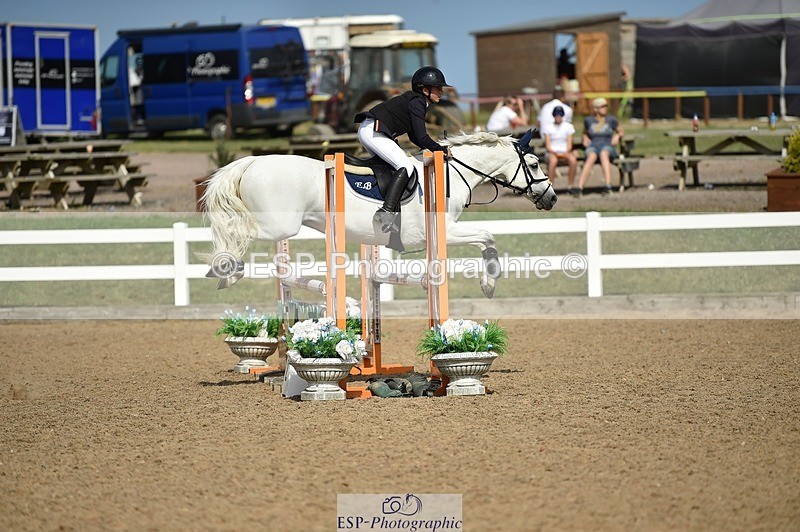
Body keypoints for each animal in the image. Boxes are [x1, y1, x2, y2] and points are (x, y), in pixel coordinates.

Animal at [201, 130, 557, 298]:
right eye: (534, 164)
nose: (551, 198)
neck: (453, 174)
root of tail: (252, 161)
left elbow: (485, 240)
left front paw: (488, 282)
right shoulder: (442, 231)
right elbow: (488, 237)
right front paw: (489, 282)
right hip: (279, 226)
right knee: (237, 231)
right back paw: (227, 271)